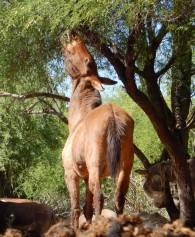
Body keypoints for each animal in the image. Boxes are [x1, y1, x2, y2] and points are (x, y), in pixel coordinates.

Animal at [61, 31, 134, 228]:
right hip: (125, 167)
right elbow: (87, 209)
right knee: (119, 197)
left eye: (87, 60)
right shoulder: (86, 177)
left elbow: (75, 209)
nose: (71, 35)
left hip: (96, 167)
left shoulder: (71, 174)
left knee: (100, 197)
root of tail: (113, 116)